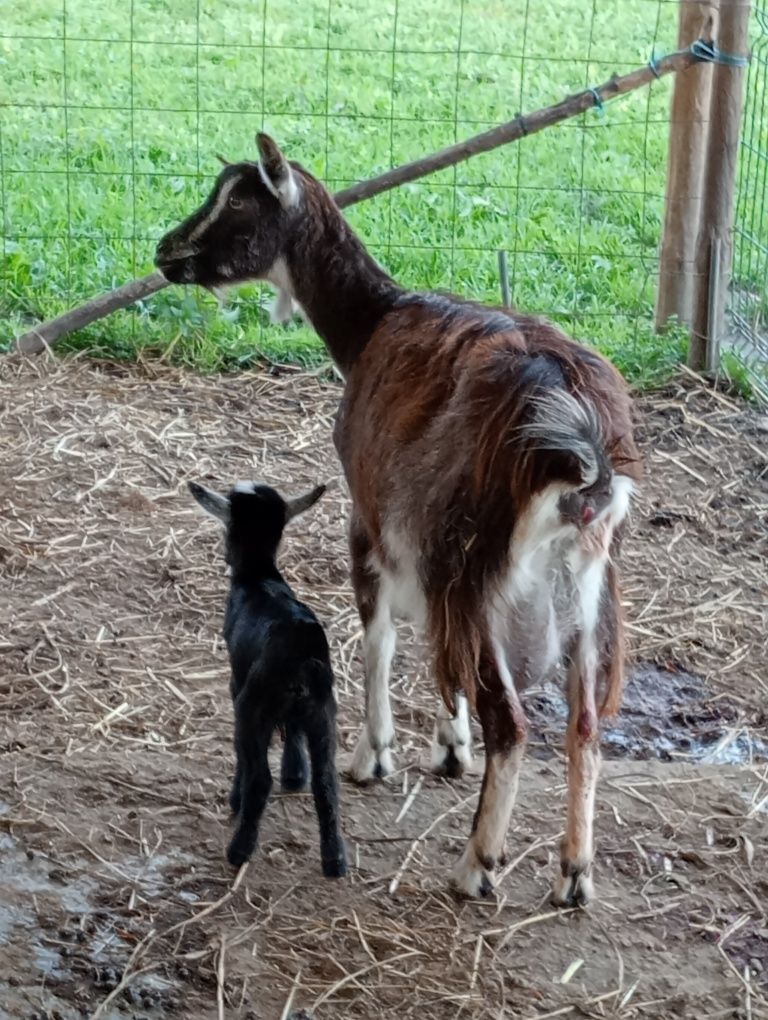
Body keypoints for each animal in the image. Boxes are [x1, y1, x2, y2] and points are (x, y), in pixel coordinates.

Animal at [156, 133, 640, 901]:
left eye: (236, 200)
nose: (165, 251)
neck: (371, 324)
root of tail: (582, 453)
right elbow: (439, 660)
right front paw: (450, 745)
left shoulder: (371, 514)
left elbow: (378, 636)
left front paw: (374, 754)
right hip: (586, 590)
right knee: (585, 723)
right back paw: (574, 874)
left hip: (480, 571)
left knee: (513, 723)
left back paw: (476, 866)